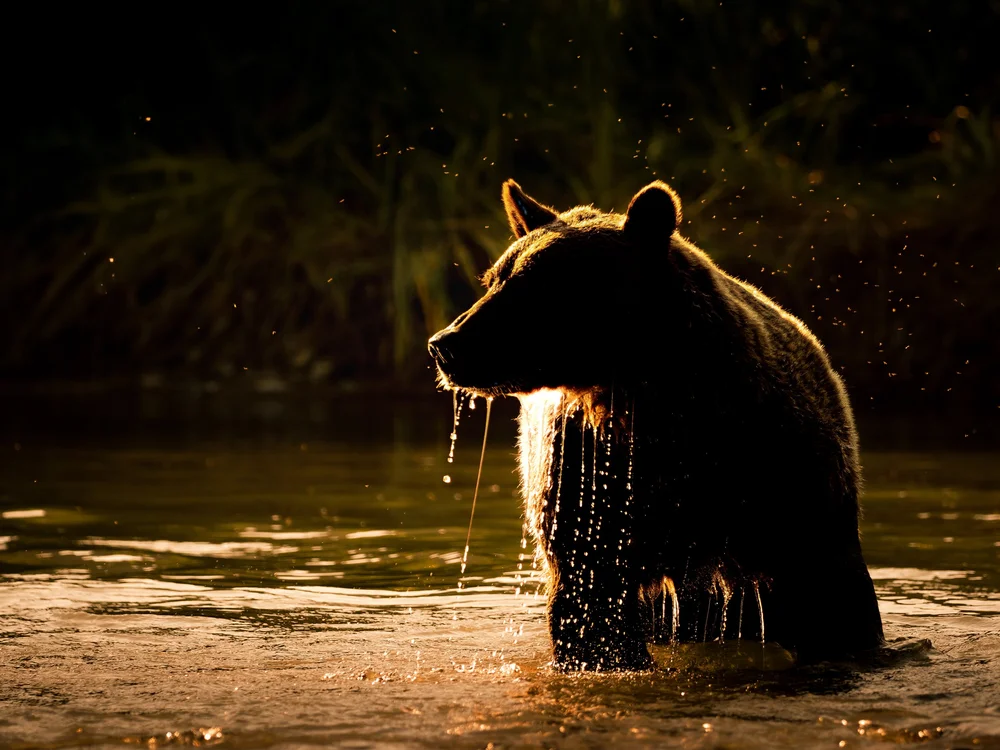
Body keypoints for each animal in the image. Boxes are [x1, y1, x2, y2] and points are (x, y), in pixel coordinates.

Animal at [428, 179, 885, 671]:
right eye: (494, 278)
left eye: (535, 284)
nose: (445, 344)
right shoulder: (589, 485)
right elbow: (592, 606)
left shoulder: (782, 491)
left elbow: (830, 607)